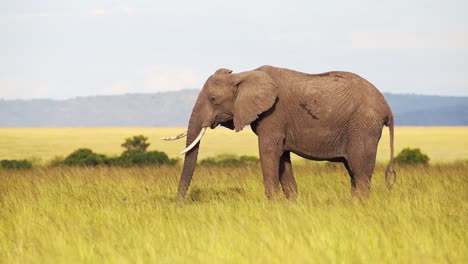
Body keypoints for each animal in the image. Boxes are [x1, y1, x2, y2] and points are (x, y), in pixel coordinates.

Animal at [162, 65, 394, 201]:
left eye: (213, 99)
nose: (178, 205)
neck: (244, 75)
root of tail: (387, 108)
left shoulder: (273, 114)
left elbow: (269, 152)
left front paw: (271, 205)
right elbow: (282, 158)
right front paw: (292, 205)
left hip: (363, 127)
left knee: (359, 171)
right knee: (353, 171)